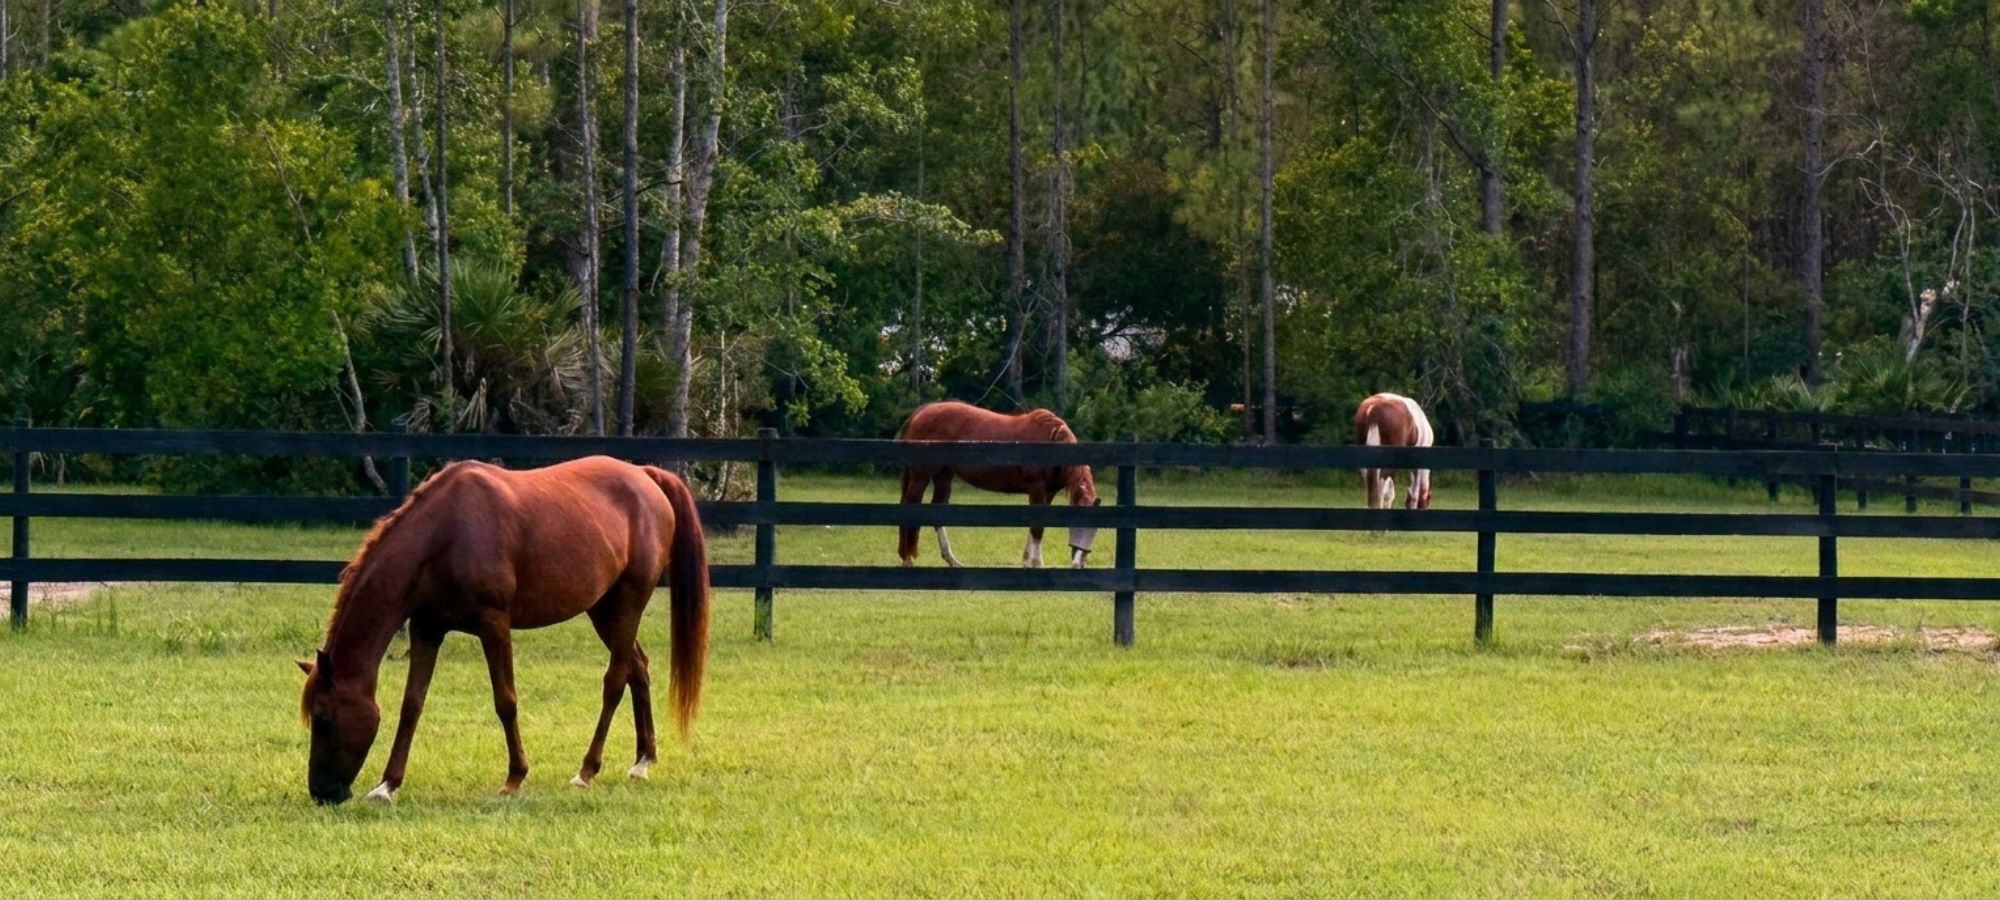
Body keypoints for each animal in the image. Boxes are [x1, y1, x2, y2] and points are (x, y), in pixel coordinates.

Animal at [295, 455, 710, 805]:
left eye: (324, 718)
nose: (321, 792)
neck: (445, 534)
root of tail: (645, 475)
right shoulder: (426, 628)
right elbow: (412, 704)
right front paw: (387, 784)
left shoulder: (493, 623)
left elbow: (505, 701)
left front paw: (515, 777)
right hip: (603, 609)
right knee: (638, 668)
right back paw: (643, 760)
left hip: (628, 602)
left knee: (615, 680)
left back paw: (587, 770)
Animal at [895, 401, 1101, 569]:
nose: (1079, 564)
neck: (1053, 441)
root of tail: (922, 411)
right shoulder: (1036, 488)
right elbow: (1037, 527)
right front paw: (1037, 564)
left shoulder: (1048, 492)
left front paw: (1027, 561)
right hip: (921, 476)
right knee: (909, 506)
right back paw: (907, 559)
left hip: (944, 475)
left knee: (937, 510)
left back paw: (952, 560)